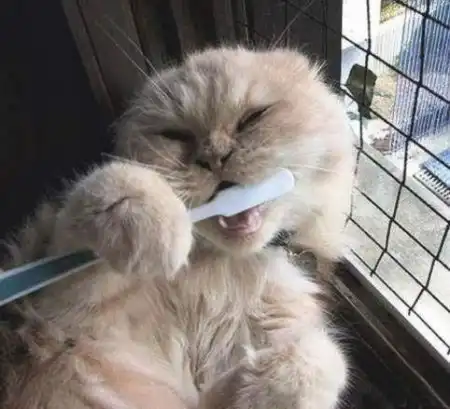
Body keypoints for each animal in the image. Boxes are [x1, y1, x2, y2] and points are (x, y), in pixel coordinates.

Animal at [0, 46, 355, 409]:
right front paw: (156, 225)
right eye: (175, 135)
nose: (214, 157)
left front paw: (263, 384)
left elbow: (323, 359)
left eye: (253, 118)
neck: (223, 266)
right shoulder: (66, 313)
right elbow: (109, 187)